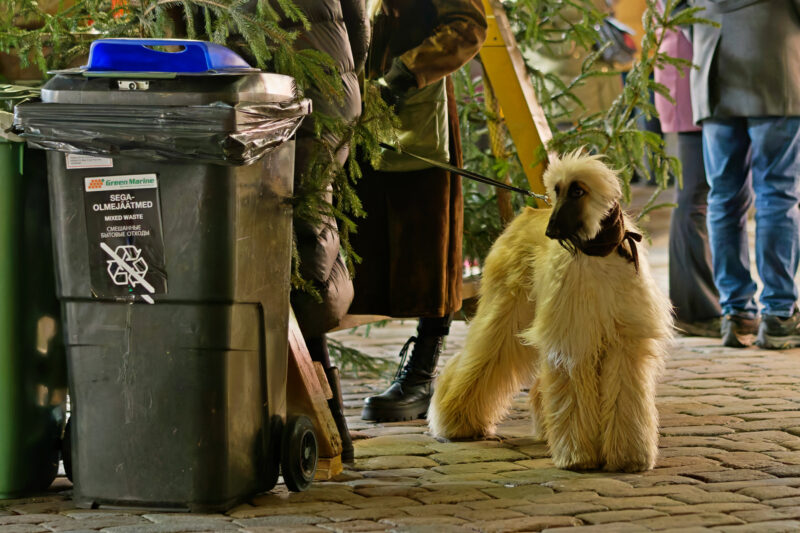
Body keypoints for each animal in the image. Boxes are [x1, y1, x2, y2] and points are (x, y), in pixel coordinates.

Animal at [428, 152, 672, 472]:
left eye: (578, 191)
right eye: (556, 190)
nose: (551, 231)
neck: (597, 251)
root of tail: (526, 214)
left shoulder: (623, 343)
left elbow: (625, 397)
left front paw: (628, 455)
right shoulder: (574, 337)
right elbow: (574, 396)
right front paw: (578, 455)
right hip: (508, 314)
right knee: (478, 360)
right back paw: (453, 419)